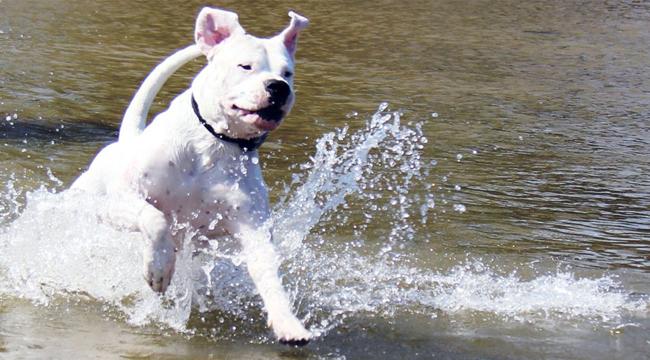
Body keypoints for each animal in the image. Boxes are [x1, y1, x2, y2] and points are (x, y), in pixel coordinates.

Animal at [70, 7, 312, 344]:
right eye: (245, 66)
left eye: (287, 72)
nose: (278, 87)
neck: (213, 143)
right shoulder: (120, 200)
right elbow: (155, 218)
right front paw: (158, 268)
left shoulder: (253, 228)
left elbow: (269, 276)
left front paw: (287, 322)